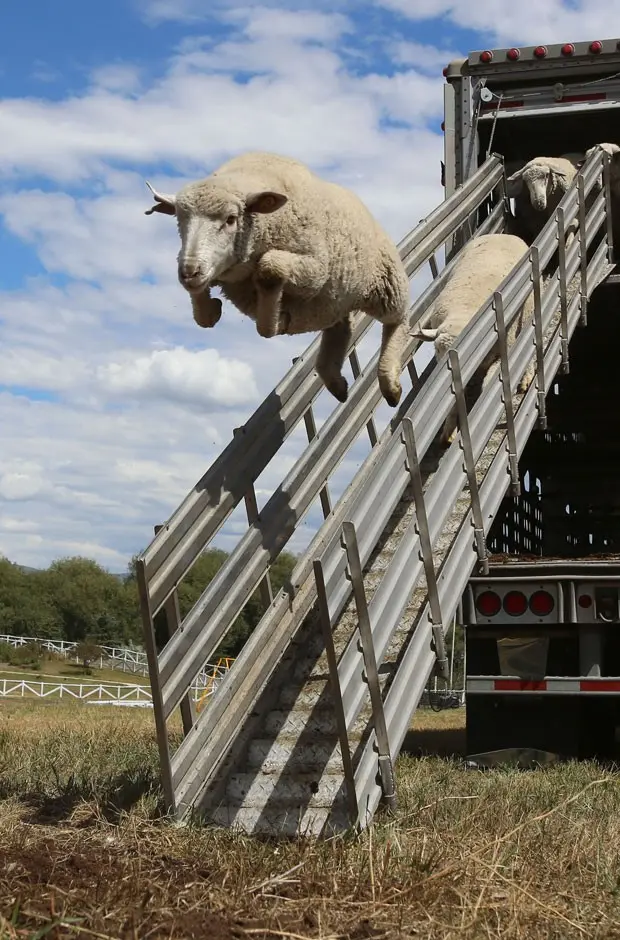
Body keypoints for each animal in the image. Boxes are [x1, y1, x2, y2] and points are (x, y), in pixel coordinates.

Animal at [145, 151, 412, 408]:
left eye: (231, 219)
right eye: (179, 220)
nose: (189, 271)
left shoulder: (316, 269)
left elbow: (269, 269)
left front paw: (276, 320)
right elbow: (202, 314)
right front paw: (212, 310)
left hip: (386, 284)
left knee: (398, 321)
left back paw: (390, 384)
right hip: (335, 300)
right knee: (341, 327)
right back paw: (337, 383)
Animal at [412, 231, 532, 444]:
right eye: (437, 350)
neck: (463, 312)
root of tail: (501, 234)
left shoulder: (503, 350)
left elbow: (490, 385)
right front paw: (449, 431)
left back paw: (526, 378)